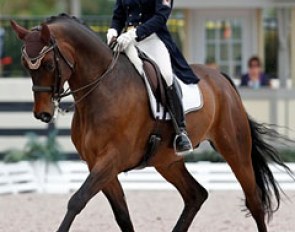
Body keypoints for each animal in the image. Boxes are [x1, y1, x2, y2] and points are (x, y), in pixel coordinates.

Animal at [11, 14, 292, 232]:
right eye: (26, 65)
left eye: (48, 64)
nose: (43, 114)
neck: (102, 89)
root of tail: (220, 76)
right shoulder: (98, 164)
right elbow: (122, 215)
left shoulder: (111, 160)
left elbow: (77, 201)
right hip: (167, 160)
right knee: (196, 195)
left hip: (234, 148)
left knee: (254, 200)